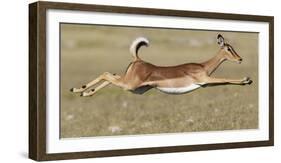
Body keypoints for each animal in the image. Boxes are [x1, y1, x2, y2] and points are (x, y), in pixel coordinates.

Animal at [69, 33, 252, 96]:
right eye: (228, 48)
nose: (240, 59)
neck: (202, 66)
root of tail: (138, 60)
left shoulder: (206, 83)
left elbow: (225, 81)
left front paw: (247, 81)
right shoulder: (205, 80)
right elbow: (226, 78)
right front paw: (247, 79)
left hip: (133, 87)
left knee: (110, 75)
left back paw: (85, 92)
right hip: (129, 85)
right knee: (106, 74)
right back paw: (79, 90)